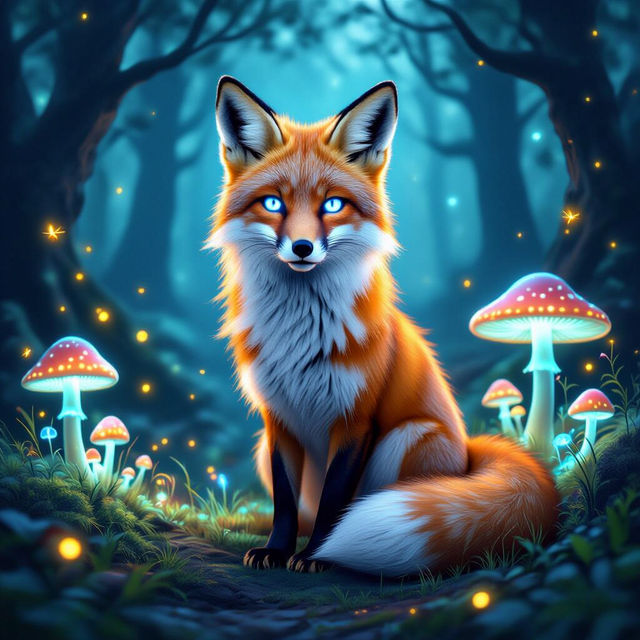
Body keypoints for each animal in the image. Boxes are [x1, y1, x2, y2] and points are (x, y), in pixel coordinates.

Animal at [207, 76, 559, 576]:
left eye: (333, 205)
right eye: (273, 203)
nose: (302, 248)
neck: (299, 335)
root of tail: (469, 452)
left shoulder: (356, 419)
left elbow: (335, 502)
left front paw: (315, 557)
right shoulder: (278, 420)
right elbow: (285, 502)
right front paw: (275, 551)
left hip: (407, 438)